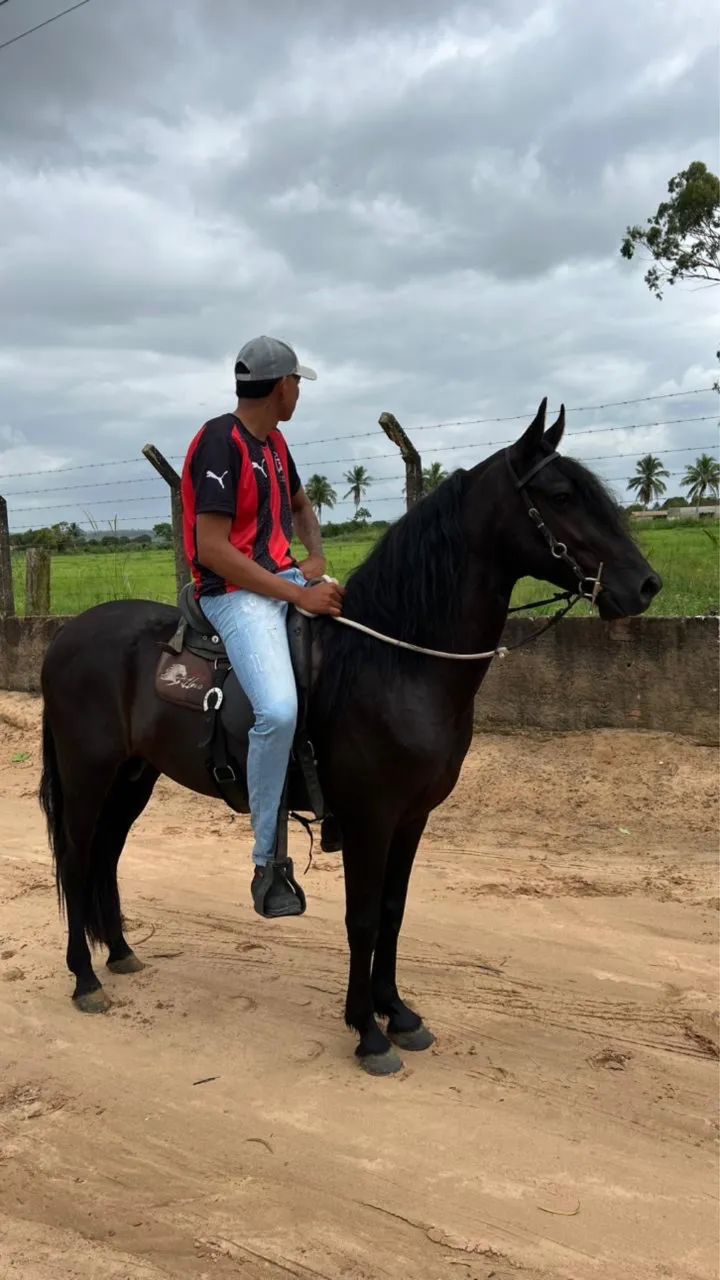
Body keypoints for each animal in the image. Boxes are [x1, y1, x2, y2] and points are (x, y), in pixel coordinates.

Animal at [39, 399, 661, 1075]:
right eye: (561, 495)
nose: (646, 585)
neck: (397, 663)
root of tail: (68, 636)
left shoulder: (412, 818)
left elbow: (392, 912)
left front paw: (400, 1013)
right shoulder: (371, 817)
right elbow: (361, 918)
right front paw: (368, 1031)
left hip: (134, 776)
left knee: (106, 855)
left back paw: (120, 952)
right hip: (88, 773)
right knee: (76, 857)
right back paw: (84, 978)